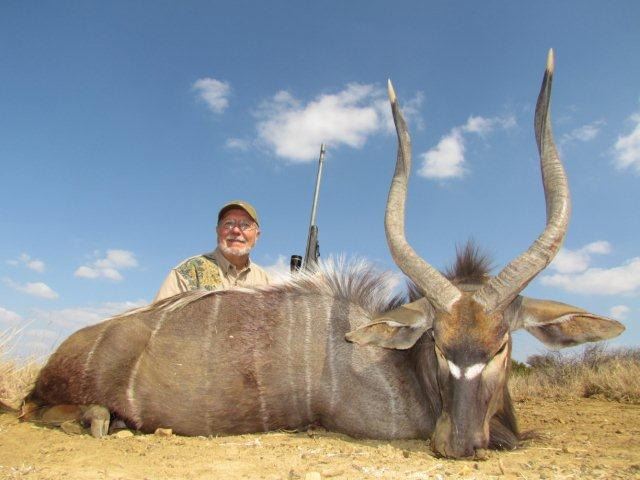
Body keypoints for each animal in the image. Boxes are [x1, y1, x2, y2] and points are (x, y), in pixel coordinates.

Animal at [23, 50, 624, 459]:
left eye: (501, 345)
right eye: (436, 343)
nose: (456, 442)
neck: (397, 364)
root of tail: (66, 348)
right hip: (54, 394)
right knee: (38, 407)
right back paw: (98, 418)